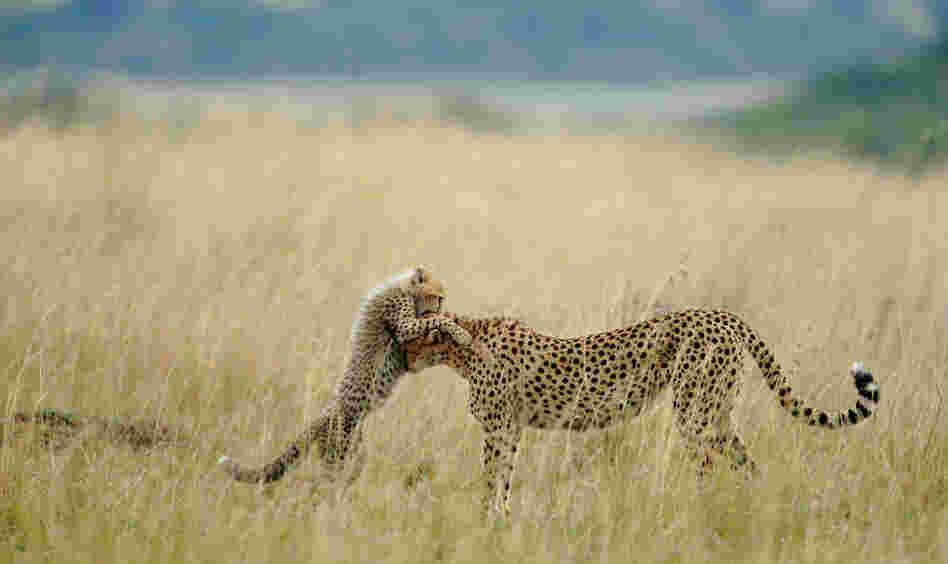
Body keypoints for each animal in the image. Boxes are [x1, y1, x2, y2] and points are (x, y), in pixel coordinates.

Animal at [218, 266, 479, 485]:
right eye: (439, 297)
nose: (442, 305)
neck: (404, 288)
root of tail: (323, 415)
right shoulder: (404, 324)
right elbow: (433, 320)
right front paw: (460, 332)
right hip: (337, 454)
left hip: (354, 450)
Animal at [402, 308, 880, 516]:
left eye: (409, 337)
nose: (401, 359)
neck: (464, 343)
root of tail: (723, 315)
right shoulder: (512, 429)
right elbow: (502, 480)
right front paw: (498, 520)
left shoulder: (500, 428)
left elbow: (491, 479)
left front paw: (486, 521)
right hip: (716, 410)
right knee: (745, 461)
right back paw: (749, 504)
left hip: (694, 410)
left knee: (707, 460)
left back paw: (697, 509)